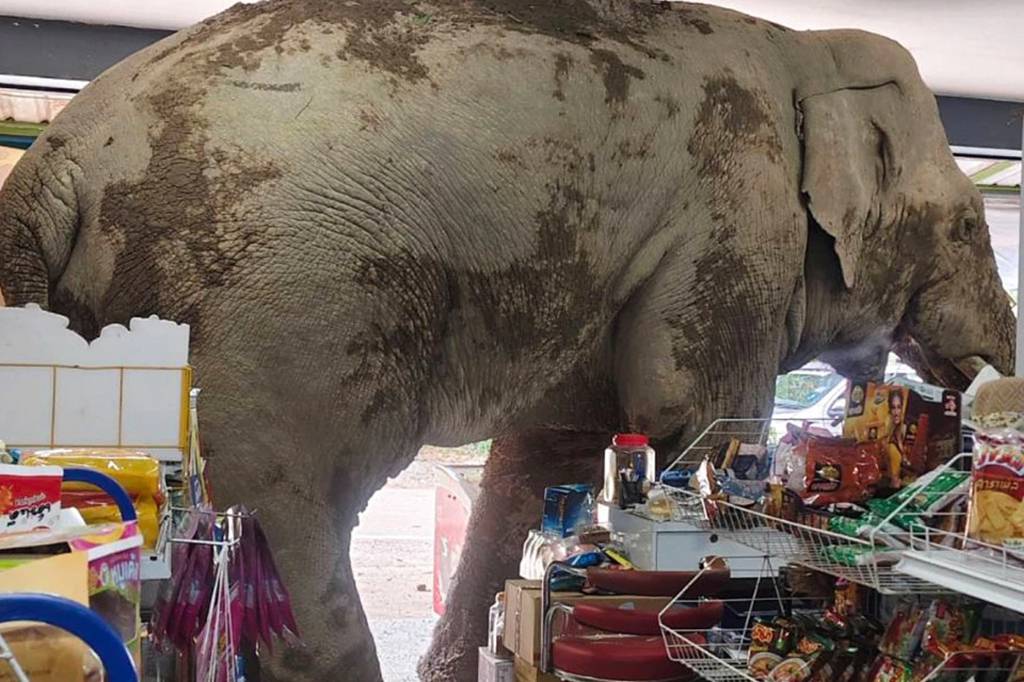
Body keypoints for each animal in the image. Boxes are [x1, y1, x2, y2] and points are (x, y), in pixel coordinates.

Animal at [0, 1, 1015, 680]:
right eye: (971, 228)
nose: (975, 404)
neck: (804, 51)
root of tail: (50, 166)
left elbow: (545, 456)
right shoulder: (735, 206)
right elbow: (694, 409)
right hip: (284, 304)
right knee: (289, 504)